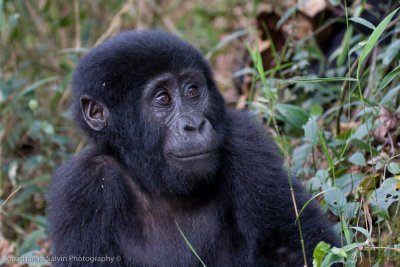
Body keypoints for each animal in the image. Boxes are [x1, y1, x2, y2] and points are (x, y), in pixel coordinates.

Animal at [47, 30, 340, 266]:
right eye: (163, 98)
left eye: (192, 91)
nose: (194, 124)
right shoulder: (84, 185)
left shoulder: (244, 141)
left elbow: (294, 247)